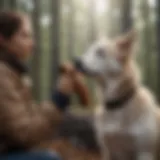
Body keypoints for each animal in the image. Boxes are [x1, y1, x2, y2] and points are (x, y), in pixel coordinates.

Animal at [74, 30, 160, 160]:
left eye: (100, 52)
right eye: (88, 50)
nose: (76, 61)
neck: (117, 106)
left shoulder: (144, 153)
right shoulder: (108, 151)